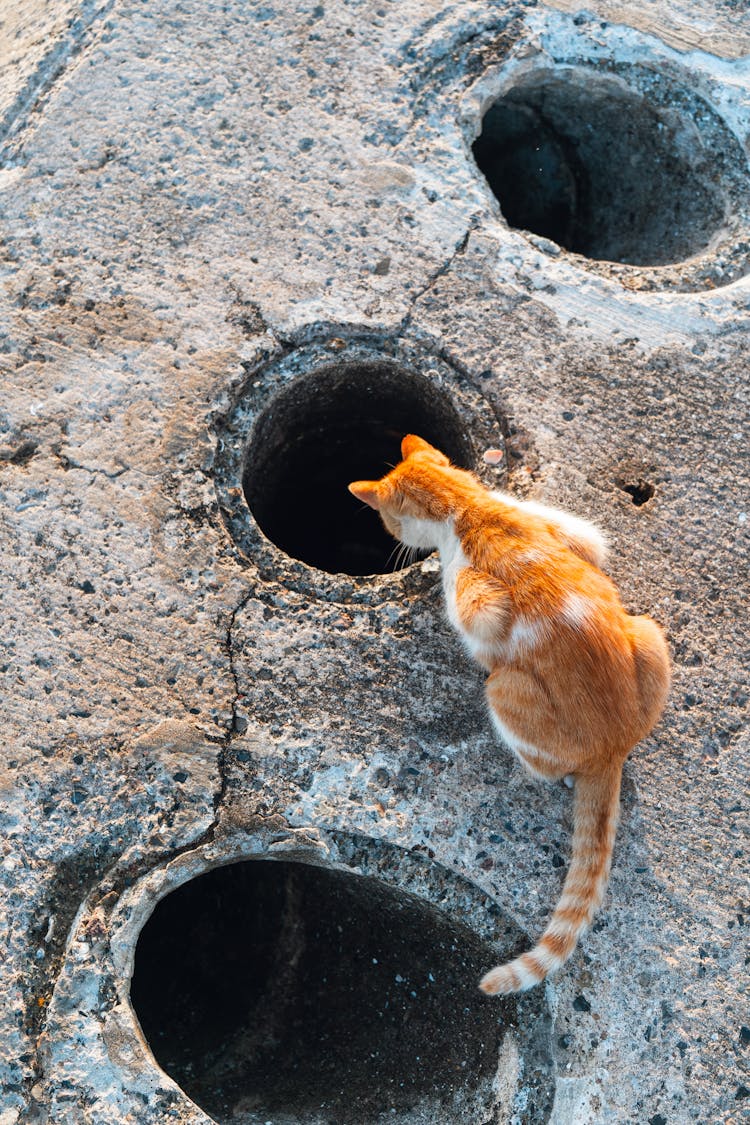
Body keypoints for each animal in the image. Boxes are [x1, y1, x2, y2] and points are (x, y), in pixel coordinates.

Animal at [348, 434, 670, 999]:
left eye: (388, 520)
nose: (396, 542)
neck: (468, 506)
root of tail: (612, 749)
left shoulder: (478, 603)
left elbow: (478, 623)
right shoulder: (569, 529)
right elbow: (593, 544)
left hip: (502, 692)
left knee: (540, 758)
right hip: (649, 633)